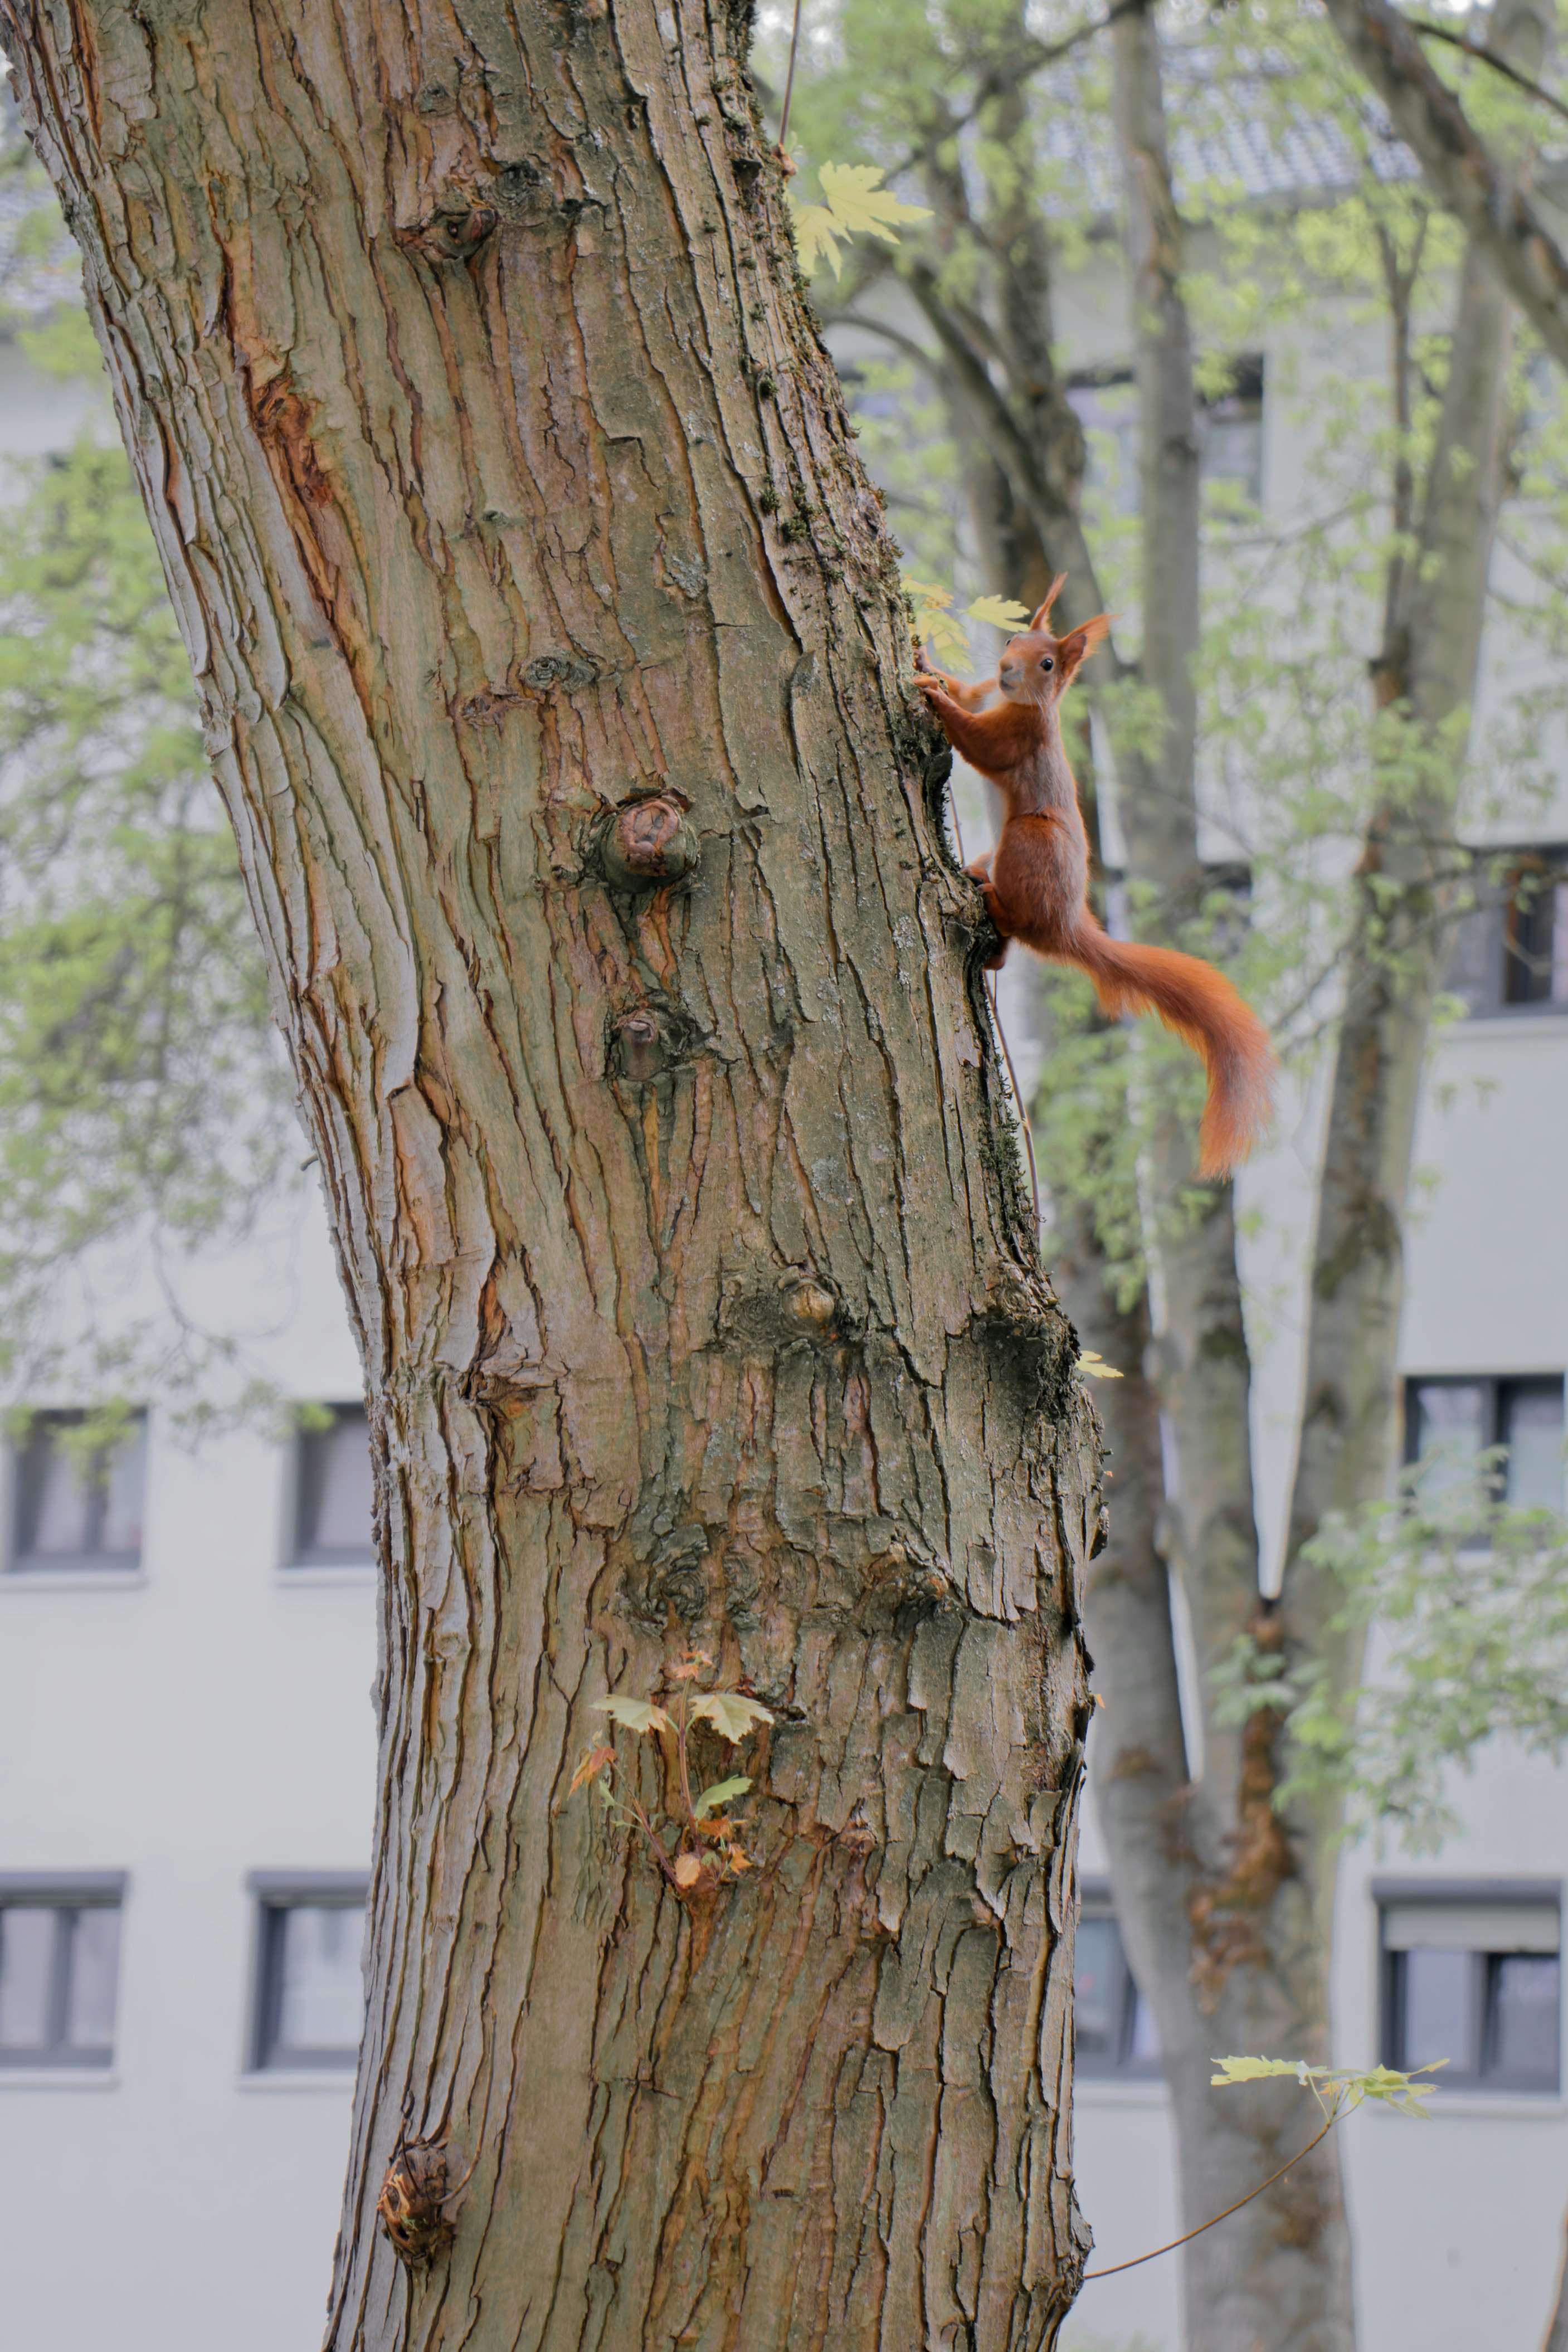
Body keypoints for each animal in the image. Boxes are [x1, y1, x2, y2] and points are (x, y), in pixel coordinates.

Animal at [915, 576, 1274, 1178]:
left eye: (1046, 664)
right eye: (1011, 640)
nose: (1007, 669)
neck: (1015, 702)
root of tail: (1067, 924)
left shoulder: (1020, 738)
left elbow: (977, 740)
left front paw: (932, 696)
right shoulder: (988, 693)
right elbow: (968, 692)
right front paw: (927, 663)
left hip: (1027, 843)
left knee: (1015, 920)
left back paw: (991, 898)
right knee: (1005, 949)